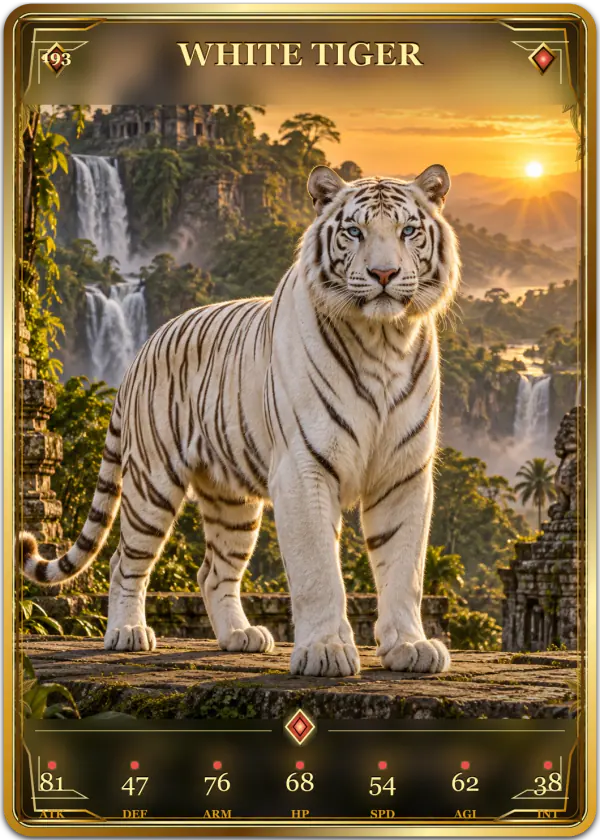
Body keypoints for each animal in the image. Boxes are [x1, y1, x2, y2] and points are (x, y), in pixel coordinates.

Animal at [19, 163, 460, 677]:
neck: (384, 341)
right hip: (152, 485)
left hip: (232, 501)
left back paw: (239, 636)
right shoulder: (304, 468)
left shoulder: (404, 473)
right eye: (355, 231)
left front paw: (409, 646)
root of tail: (141, 350)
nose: (384, 273)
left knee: (213, 572)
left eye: (408, 231)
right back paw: (127, 633)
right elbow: (318, 571)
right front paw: (325, 651)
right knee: (124, 562)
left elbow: (404, 568)